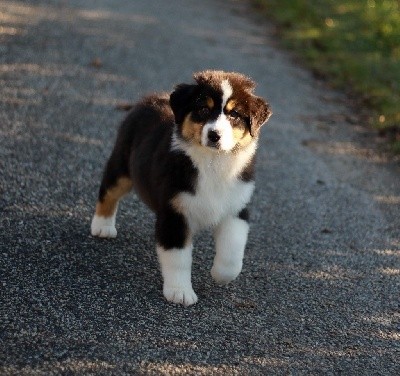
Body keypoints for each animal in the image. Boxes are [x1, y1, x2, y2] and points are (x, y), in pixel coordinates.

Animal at [90, 70, 272, 306]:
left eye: (234, 115)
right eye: (203, 109)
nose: (214, 135)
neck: (213, 163)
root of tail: (149, 98)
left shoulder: (236, 209)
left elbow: (233, 251)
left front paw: (220, 275)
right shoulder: (175, 212)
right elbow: (178, 258)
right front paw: (180, 293)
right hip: (122, 165)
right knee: (108, 190)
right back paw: (102, 226)